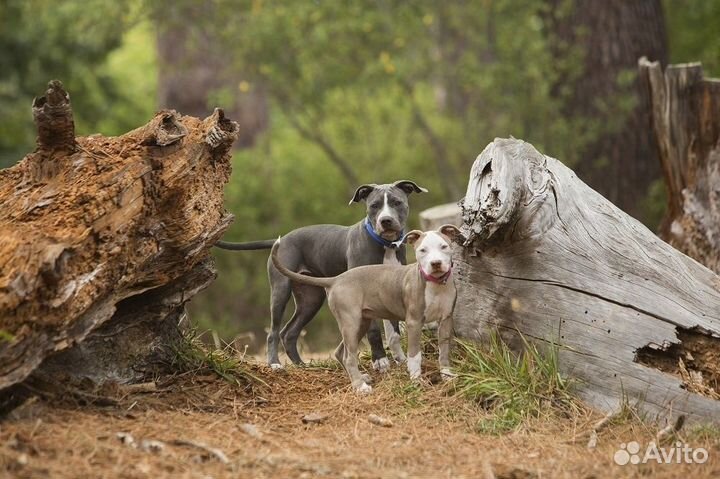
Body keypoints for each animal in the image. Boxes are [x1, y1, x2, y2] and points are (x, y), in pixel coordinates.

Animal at [214, 180, 428, 368]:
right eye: (374, 205)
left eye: (396, 202)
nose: (386, 221)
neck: (385, 245)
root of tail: (281, 240)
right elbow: (374, 330)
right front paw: (380, 361)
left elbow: (393, 332)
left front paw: (400, 359)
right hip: (280, 291)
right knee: (273, 332)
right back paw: (274, 363)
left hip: (310, 299)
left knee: (289, 332)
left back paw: (301, 365)